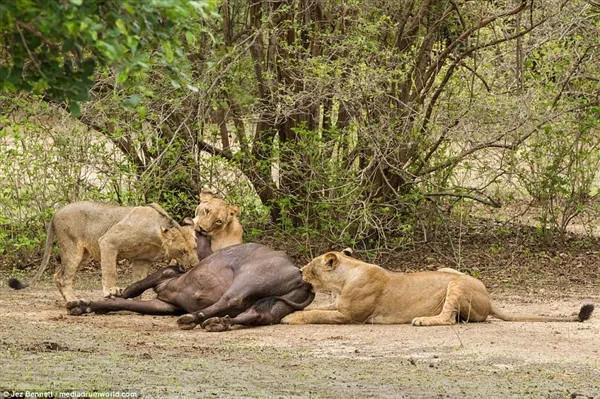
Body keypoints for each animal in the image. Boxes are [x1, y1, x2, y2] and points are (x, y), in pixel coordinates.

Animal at [7, 202, 199, 302]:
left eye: (195, 247)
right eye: (182, 250)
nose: (195, 265)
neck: (155, 233)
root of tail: (57, 212)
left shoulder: (142, 260)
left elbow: (139, 281)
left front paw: (136, 301)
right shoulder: (108, 242)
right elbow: (110, 270)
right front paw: (111, 291)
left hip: (83, 254)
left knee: (57, 275)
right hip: (72, 248)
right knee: (63, 277)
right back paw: (74, 301)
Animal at [67, 242, 314, 332]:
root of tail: (300, 274)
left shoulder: (167, 282)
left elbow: (129, 293)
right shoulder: (164, 304)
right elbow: (123, 302)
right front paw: (84, 305)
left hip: (248, 280)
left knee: (230, 300)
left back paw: (195, 318)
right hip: (273, 307)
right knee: (254, 315)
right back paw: (218, 323)